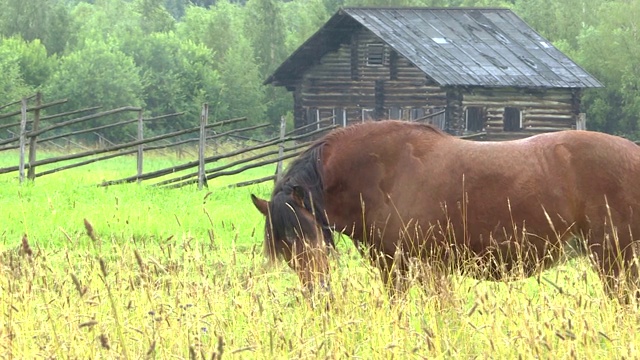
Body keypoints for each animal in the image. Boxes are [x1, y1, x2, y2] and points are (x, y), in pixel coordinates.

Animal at [252, 121, 640, 300]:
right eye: (285, 249)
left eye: (311, 235)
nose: (317, 294)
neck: (382, 172)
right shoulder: (403, 268)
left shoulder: (417, 267)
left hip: (616, 260)